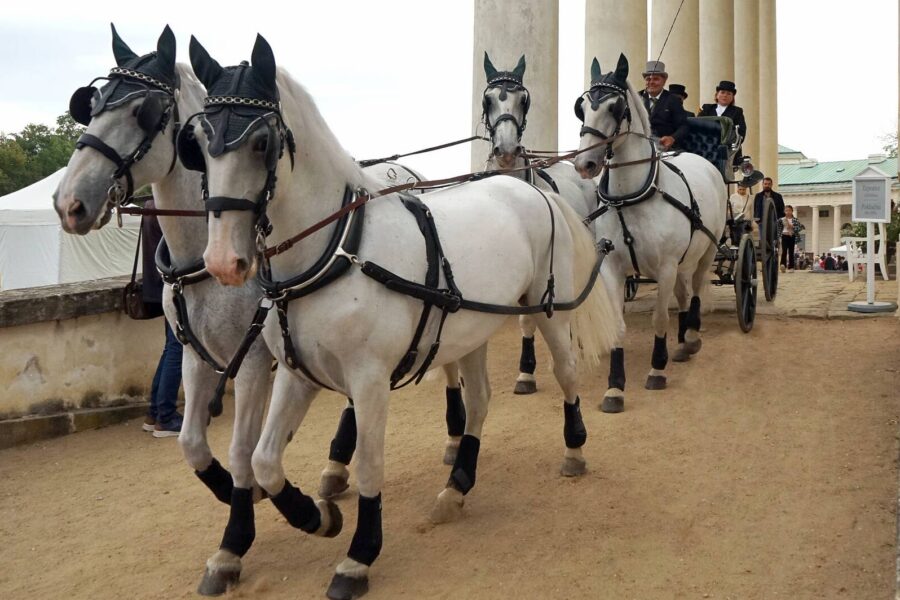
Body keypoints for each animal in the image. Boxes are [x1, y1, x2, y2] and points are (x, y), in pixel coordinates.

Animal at [572, 55, 728, 412]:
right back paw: (683, 340)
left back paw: (692, 337)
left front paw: (657, 369)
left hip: (706, 252)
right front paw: (614, 388)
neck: (632, 196)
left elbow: (659, 319)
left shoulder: (666, 266)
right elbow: (618, 327)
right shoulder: (612, 268)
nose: (585, 164)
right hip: (685, 258)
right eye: (582, 106)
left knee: (695, 291)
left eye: (615, 107)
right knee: (684, 294)